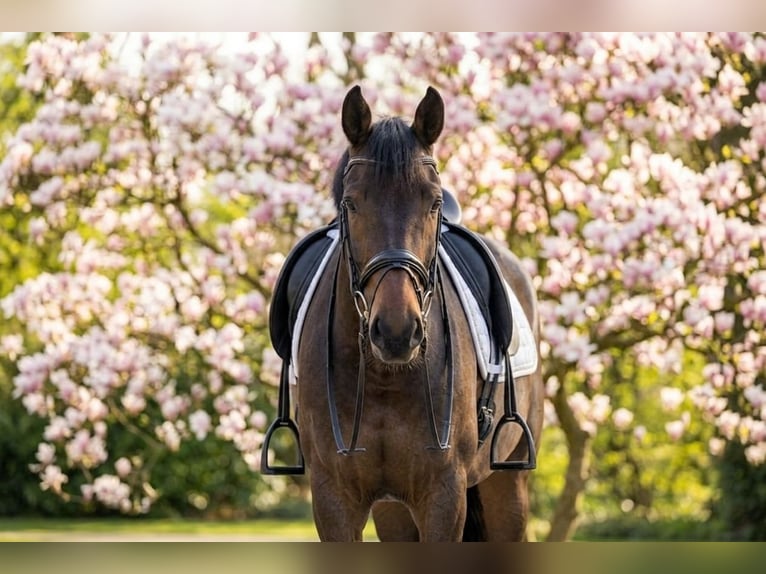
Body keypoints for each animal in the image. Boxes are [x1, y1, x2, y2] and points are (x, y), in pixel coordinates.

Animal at [273, 85, 544, 541]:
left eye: (433, 203)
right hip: (393, 510)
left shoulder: (443, 495)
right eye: (351, 204)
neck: (384, 378)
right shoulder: (334, 498)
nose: (397, 332)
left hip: (508, 487)